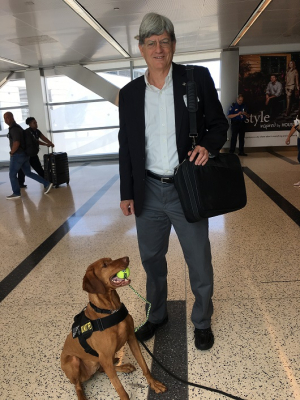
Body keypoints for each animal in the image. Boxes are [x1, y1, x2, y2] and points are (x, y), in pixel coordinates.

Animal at [60, 256, 166, 400]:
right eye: (105, 265)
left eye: (110, 259)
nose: (127, 258)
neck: (110, 311)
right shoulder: (104, 357)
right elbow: (119, 388)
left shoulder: (132, 339)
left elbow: (144, 365)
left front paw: (153, 383)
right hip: (74, 361)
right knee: (78, 385)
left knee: (102, 369)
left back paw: (123, 366)